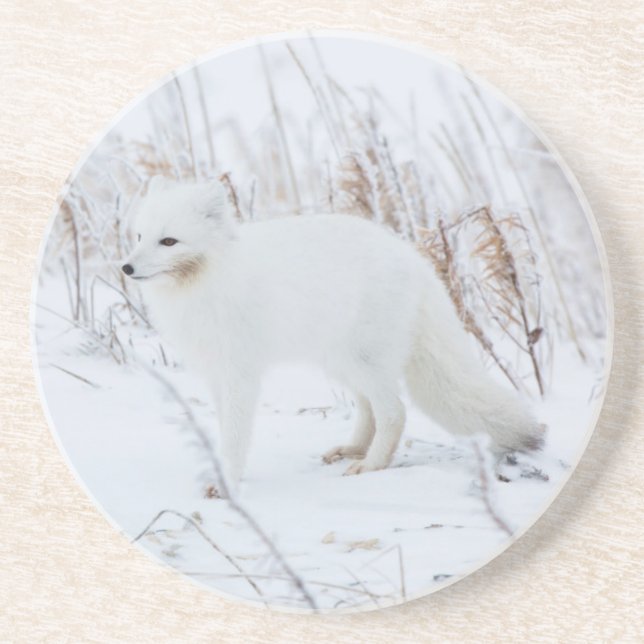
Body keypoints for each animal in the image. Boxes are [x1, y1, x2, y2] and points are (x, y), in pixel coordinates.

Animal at [123, 176, 543, 490]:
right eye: (139, 236)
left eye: (169, 241)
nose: (126, 267)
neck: (207, 281)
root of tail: (414, 260)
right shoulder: (216, 375)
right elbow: (226, 428)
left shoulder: (241, 374)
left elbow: (237, 435)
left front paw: (228, 481)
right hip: (341, 363)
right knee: (369, 409)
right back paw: (353, 450)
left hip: (364, 360)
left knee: (394, 411)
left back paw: (371, 465)